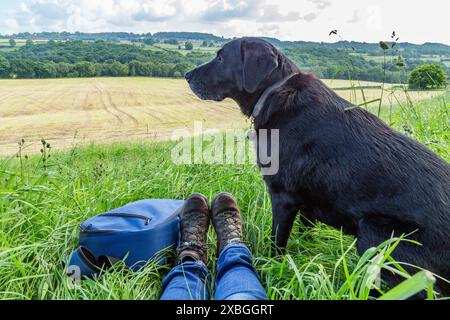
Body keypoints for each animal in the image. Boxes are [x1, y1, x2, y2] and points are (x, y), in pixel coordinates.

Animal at [185, 37, 448, 296]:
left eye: (220, 58)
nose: (187, 75)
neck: (273, 91)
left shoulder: (283, 197)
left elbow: (276, 242)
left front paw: (273, 267)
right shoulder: (308, 201)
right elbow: (306, 231)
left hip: (375, 234)